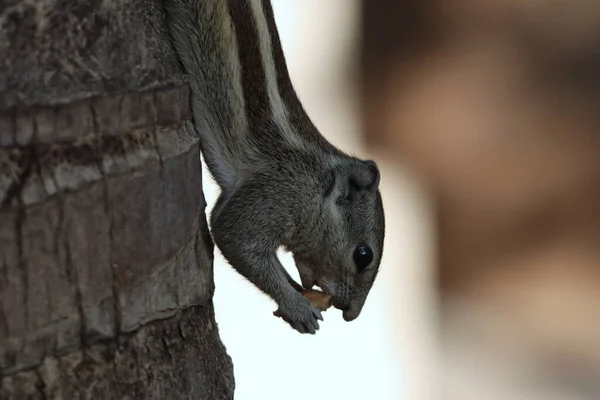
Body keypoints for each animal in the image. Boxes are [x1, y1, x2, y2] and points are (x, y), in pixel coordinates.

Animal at [164, 0, 384, 334]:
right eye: (363, 255)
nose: (351, 314)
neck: (316, 180)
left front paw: (295, 294)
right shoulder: (275, 196)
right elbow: (233, 235)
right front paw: (297, 306)